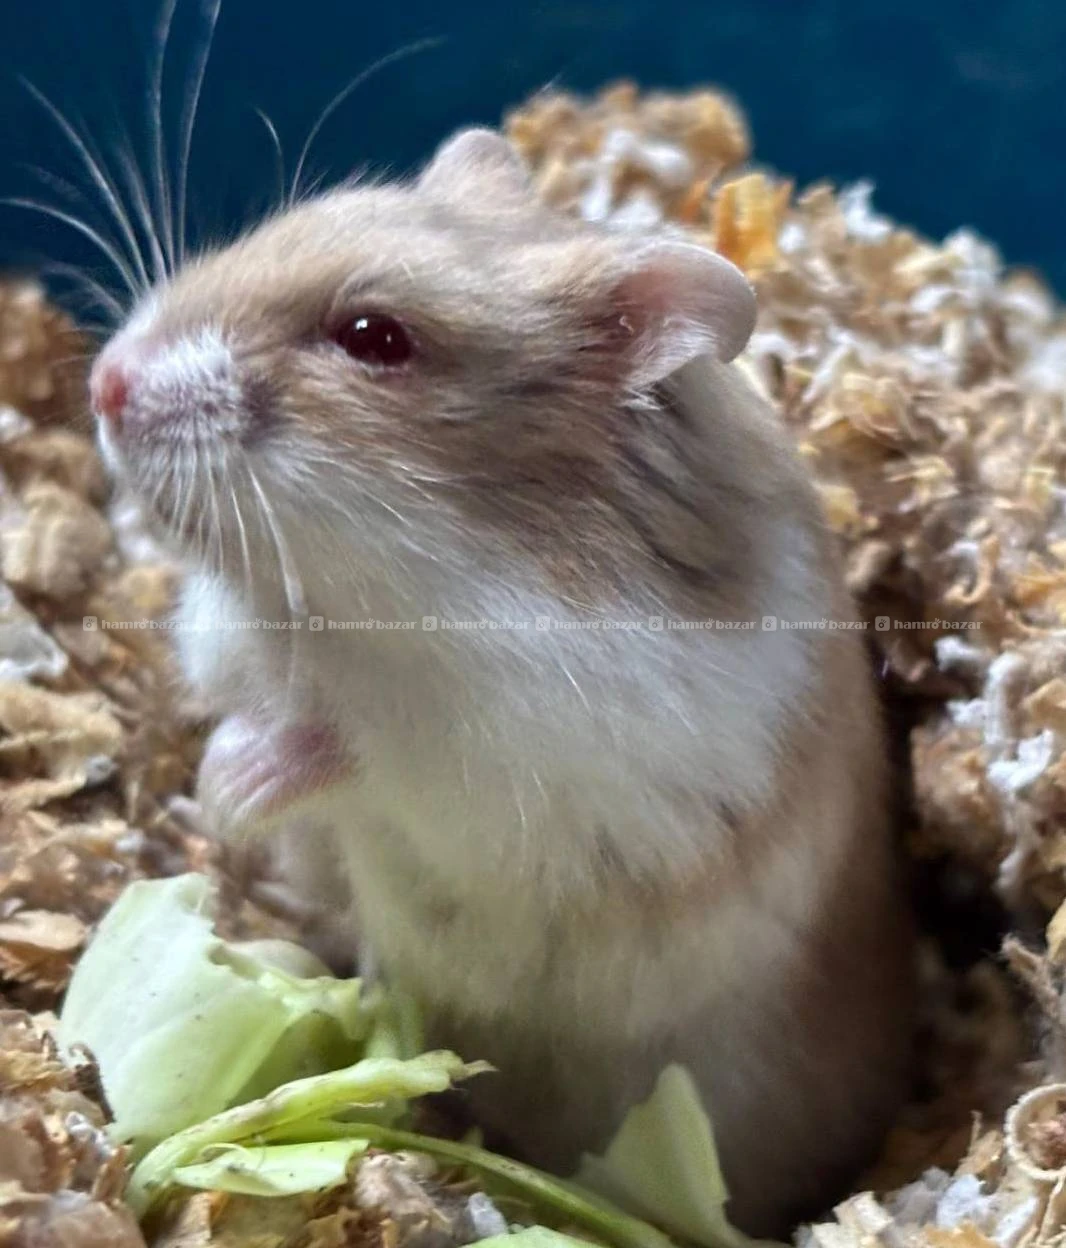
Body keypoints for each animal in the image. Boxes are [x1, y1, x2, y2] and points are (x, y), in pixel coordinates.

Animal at [90, 128, 914, 1236]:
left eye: (374, 338)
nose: (104, 381)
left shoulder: (507, 770)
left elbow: (349, 750)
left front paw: (230, 790)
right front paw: (216, 805)